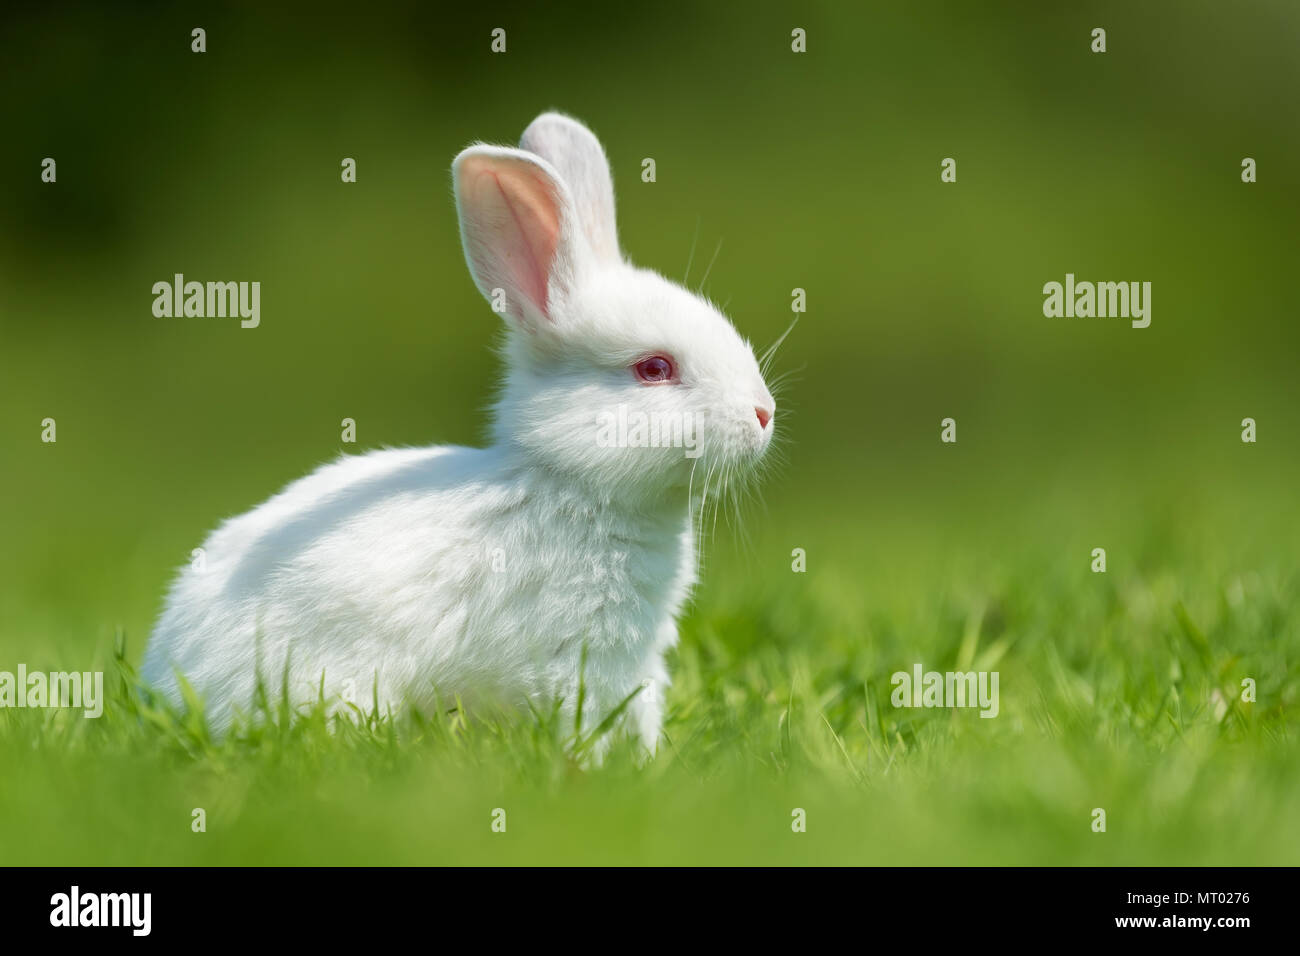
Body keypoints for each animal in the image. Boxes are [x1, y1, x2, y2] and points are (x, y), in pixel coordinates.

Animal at [142, 111, 769, 754]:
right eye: (654, 369)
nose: (763, 414)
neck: (571, 485)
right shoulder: (576, 657)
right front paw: (596, 767)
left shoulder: (636, 664)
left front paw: (648, 761)